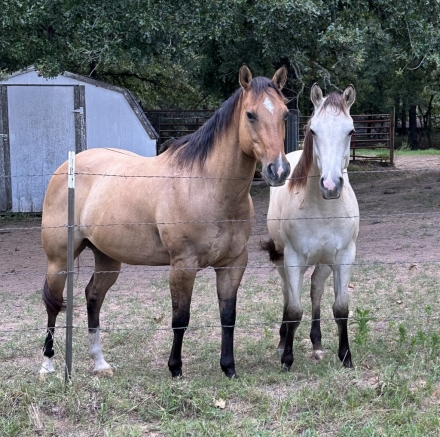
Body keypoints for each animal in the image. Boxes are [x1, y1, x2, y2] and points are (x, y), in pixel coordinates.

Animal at [39, 65, 290, 378]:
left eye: (285, 114)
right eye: (250, 114)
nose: (278, 170)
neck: (206, 185)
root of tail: (66, 168)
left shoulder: (233, 264)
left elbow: (228, 316)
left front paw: (228, 367)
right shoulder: (183, 265)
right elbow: (180, 318)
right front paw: (175, 368)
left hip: (107, 258)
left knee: (93, 297)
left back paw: (99, 362)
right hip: (59, 260)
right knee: (52, 303)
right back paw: (47, 364)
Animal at [262, 83, 360, 370]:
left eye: (350, 130)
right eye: (313, 130)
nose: (330, 185)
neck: (322, 211)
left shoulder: (344, 257)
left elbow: (340, 308)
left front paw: (346, 357)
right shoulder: (293, 258)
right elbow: (294, 310)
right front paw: (287, 359)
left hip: (324, 262)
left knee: (316, 290)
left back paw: (317, 344)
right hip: (283, 260)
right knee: (287, 293)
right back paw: (283, 339)